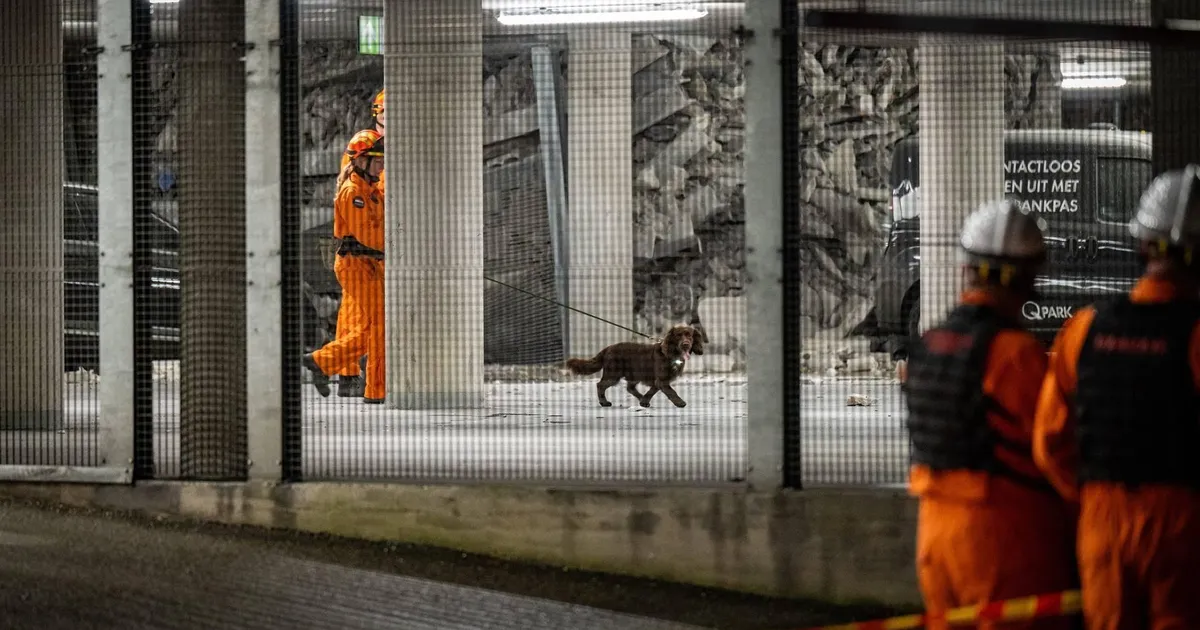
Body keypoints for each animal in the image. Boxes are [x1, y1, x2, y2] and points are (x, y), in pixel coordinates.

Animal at [565, 325, 705, 408]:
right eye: (678, 336)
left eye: (690, 335)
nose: (686, 344)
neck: (671, 353)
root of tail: (607, 349)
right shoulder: (662, 380)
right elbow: (672, 392)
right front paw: (680, 402)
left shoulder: (658, 380)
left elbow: (652, 390)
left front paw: (644, 402)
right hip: (613, 374)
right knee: (600, 385)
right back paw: (604, 402)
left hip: (634, 373)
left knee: (630, 388)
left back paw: (641, 398)